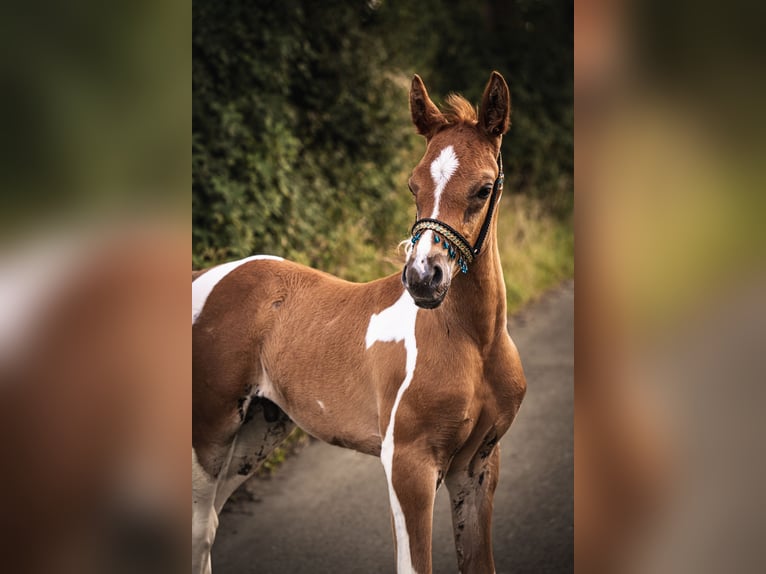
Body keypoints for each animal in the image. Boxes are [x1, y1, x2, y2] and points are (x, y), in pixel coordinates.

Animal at [192, 72, 528, 574]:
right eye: (413, 185)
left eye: (484, 189)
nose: (423, 277)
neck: (475, 342)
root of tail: (207, 276)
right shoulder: (408, 466)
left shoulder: (478, 468)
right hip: (209, 433)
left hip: (258, 431)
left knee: (211, 525)